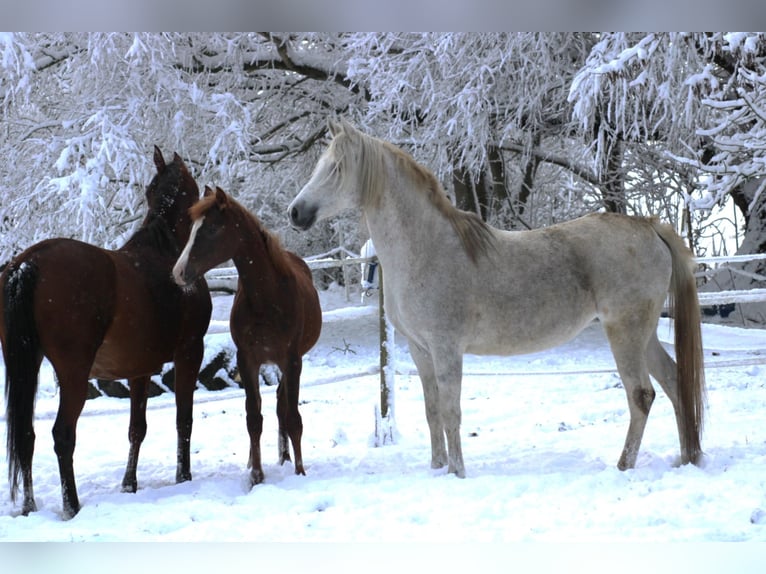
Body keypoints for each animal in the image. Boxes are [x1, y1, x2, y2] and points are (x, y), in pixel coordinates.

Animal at [1, 147, 212, 518]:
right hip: (73, 373)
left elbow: (136, 429)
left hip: (25, 365)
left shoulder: (140, 370)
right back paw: (71, 505)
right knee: (62, 434)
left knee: (26, 434)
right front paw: (183, 477)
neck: (165, 249)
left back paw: (28, 505)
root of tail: (28, 262)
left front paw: (129, 484)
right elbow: (183, 419)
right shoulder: (190, 352)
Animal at [173, 186, 322, 486]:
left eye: (212, 228)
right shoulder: (247, 360)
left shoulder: (292, 361)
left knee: (282, 405)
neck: (267, 298)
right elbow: (253, 417)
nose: (179, 272)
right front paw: (256, 475)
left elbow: (293, 417)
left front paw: (300, 473)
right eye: (192, 228)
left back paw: (286, 458)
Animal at [288, 118, 706, 478]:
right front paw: (437, 468)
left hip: (625, 333)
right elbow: (432, 411)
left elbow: (451, 411)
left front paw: (456, 473)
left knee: (641, 395)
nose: (295, 212)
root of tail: (649, 226)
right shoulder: (420, 350)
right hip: (643, 334)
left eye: (336, 168)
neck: (426, 249)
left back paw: (623, 466)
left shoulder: (446, 348)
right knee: (674, 383)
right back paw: (687, 457)